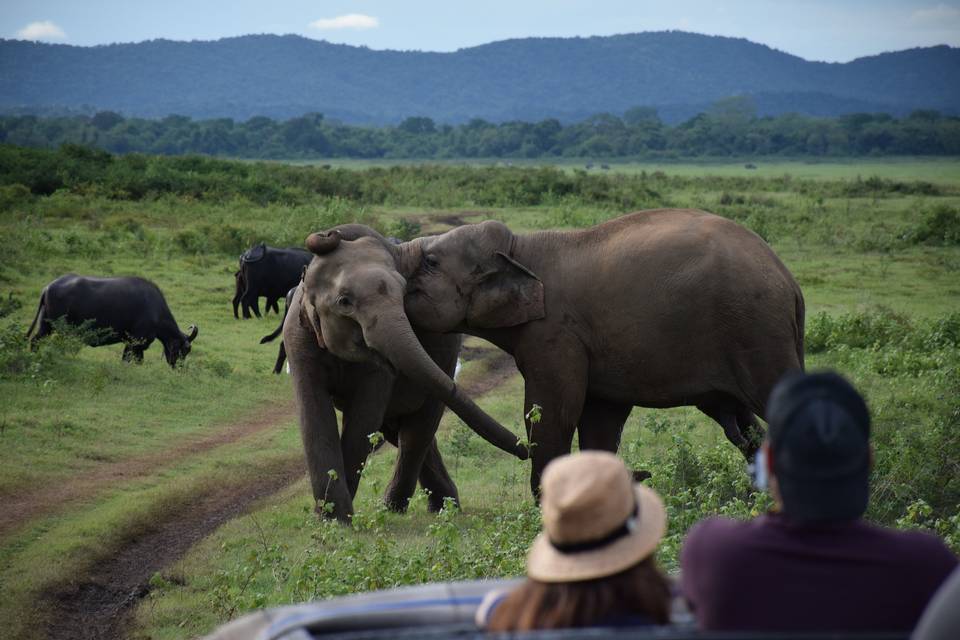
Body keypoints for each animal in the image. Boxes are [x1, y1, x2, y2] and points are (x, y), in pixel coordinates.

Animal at [27, 274, 199, 368]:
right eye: (183, 349)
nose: (179, 368)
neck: (155, 311)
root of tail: (48, 287)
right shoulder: (134, 342)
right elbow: (128, 360)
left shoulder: (135, 346)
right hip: (51, 326)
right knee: (36, 341)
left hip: (45, 325)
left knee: (35, 340)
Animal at [284, 238, 528, 524]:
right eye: (344, 301)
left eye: (404, 296)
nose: (525, 450)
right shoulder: (298, 339)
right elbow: (314, 415)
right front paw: (332, 518)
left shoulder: (378, 370)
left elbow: (362, 421)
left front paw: (337, 519)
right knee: (402, 430)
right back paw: (439, 505)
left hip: (445, 355)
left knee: (417, 429)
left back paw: (405, 507)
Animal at [304, 209, 808, 496]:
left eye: (429, 262)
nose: (326, 237)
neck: (521, 248)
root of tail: (790, 283)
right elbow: (599, 420)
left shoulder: (556, 334)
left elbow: (552, 412)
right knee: (742, 423)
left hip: (756, 329)